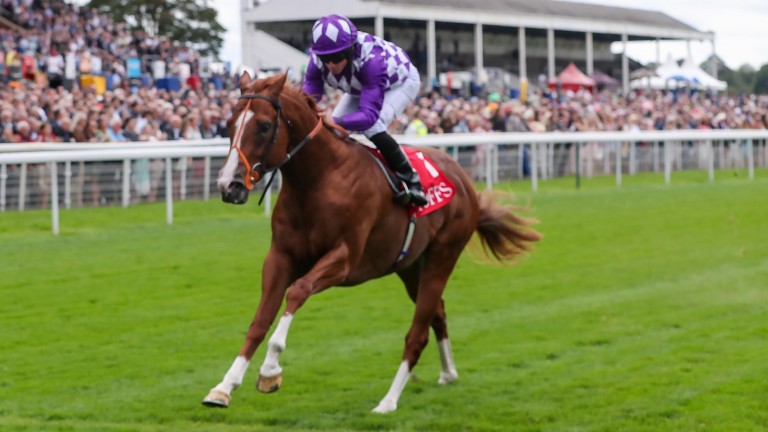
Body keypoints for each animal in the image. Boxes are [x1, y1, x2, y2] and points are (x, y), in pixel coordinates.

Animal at [204, 72, 540, 414]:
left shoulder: (344, 258)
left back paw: (388, 402)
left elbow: (297, 291)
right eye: (229, 123)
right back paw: (448, 373)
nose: (228, 185)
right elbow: (259, 322)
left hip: (443, 256)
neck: (319, 180)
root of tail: (464, 180)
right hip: (409, 267)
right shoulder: (280, 257)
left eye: (263, 126)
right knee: (438, 313)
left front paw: (270, 370)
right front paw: (223, 387)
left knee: (418, 333)